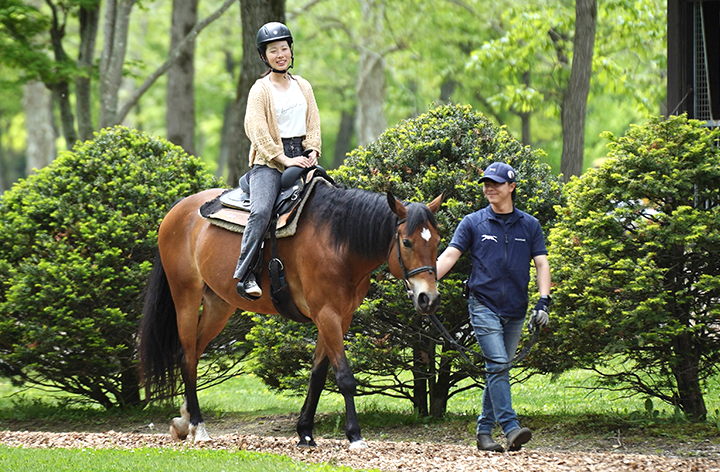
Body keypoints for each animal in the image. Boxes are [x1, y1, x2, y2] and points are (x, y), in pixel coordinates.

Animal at [139, 180, 443, 449]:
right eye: (407, 243)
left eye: (437, 241)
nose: (428, 298)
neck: (338, 240)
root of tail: (179, 209)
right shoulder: (327, 315)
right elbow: (344, 377)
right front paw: (354, 436)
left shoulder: (339, 318)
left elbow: (318, 377)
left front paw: (305, 433)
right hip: (186, 297)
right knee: (188, 357)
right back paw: (198, 426)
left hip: (219, 306)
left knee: (190, 354)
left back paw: (184, 421)